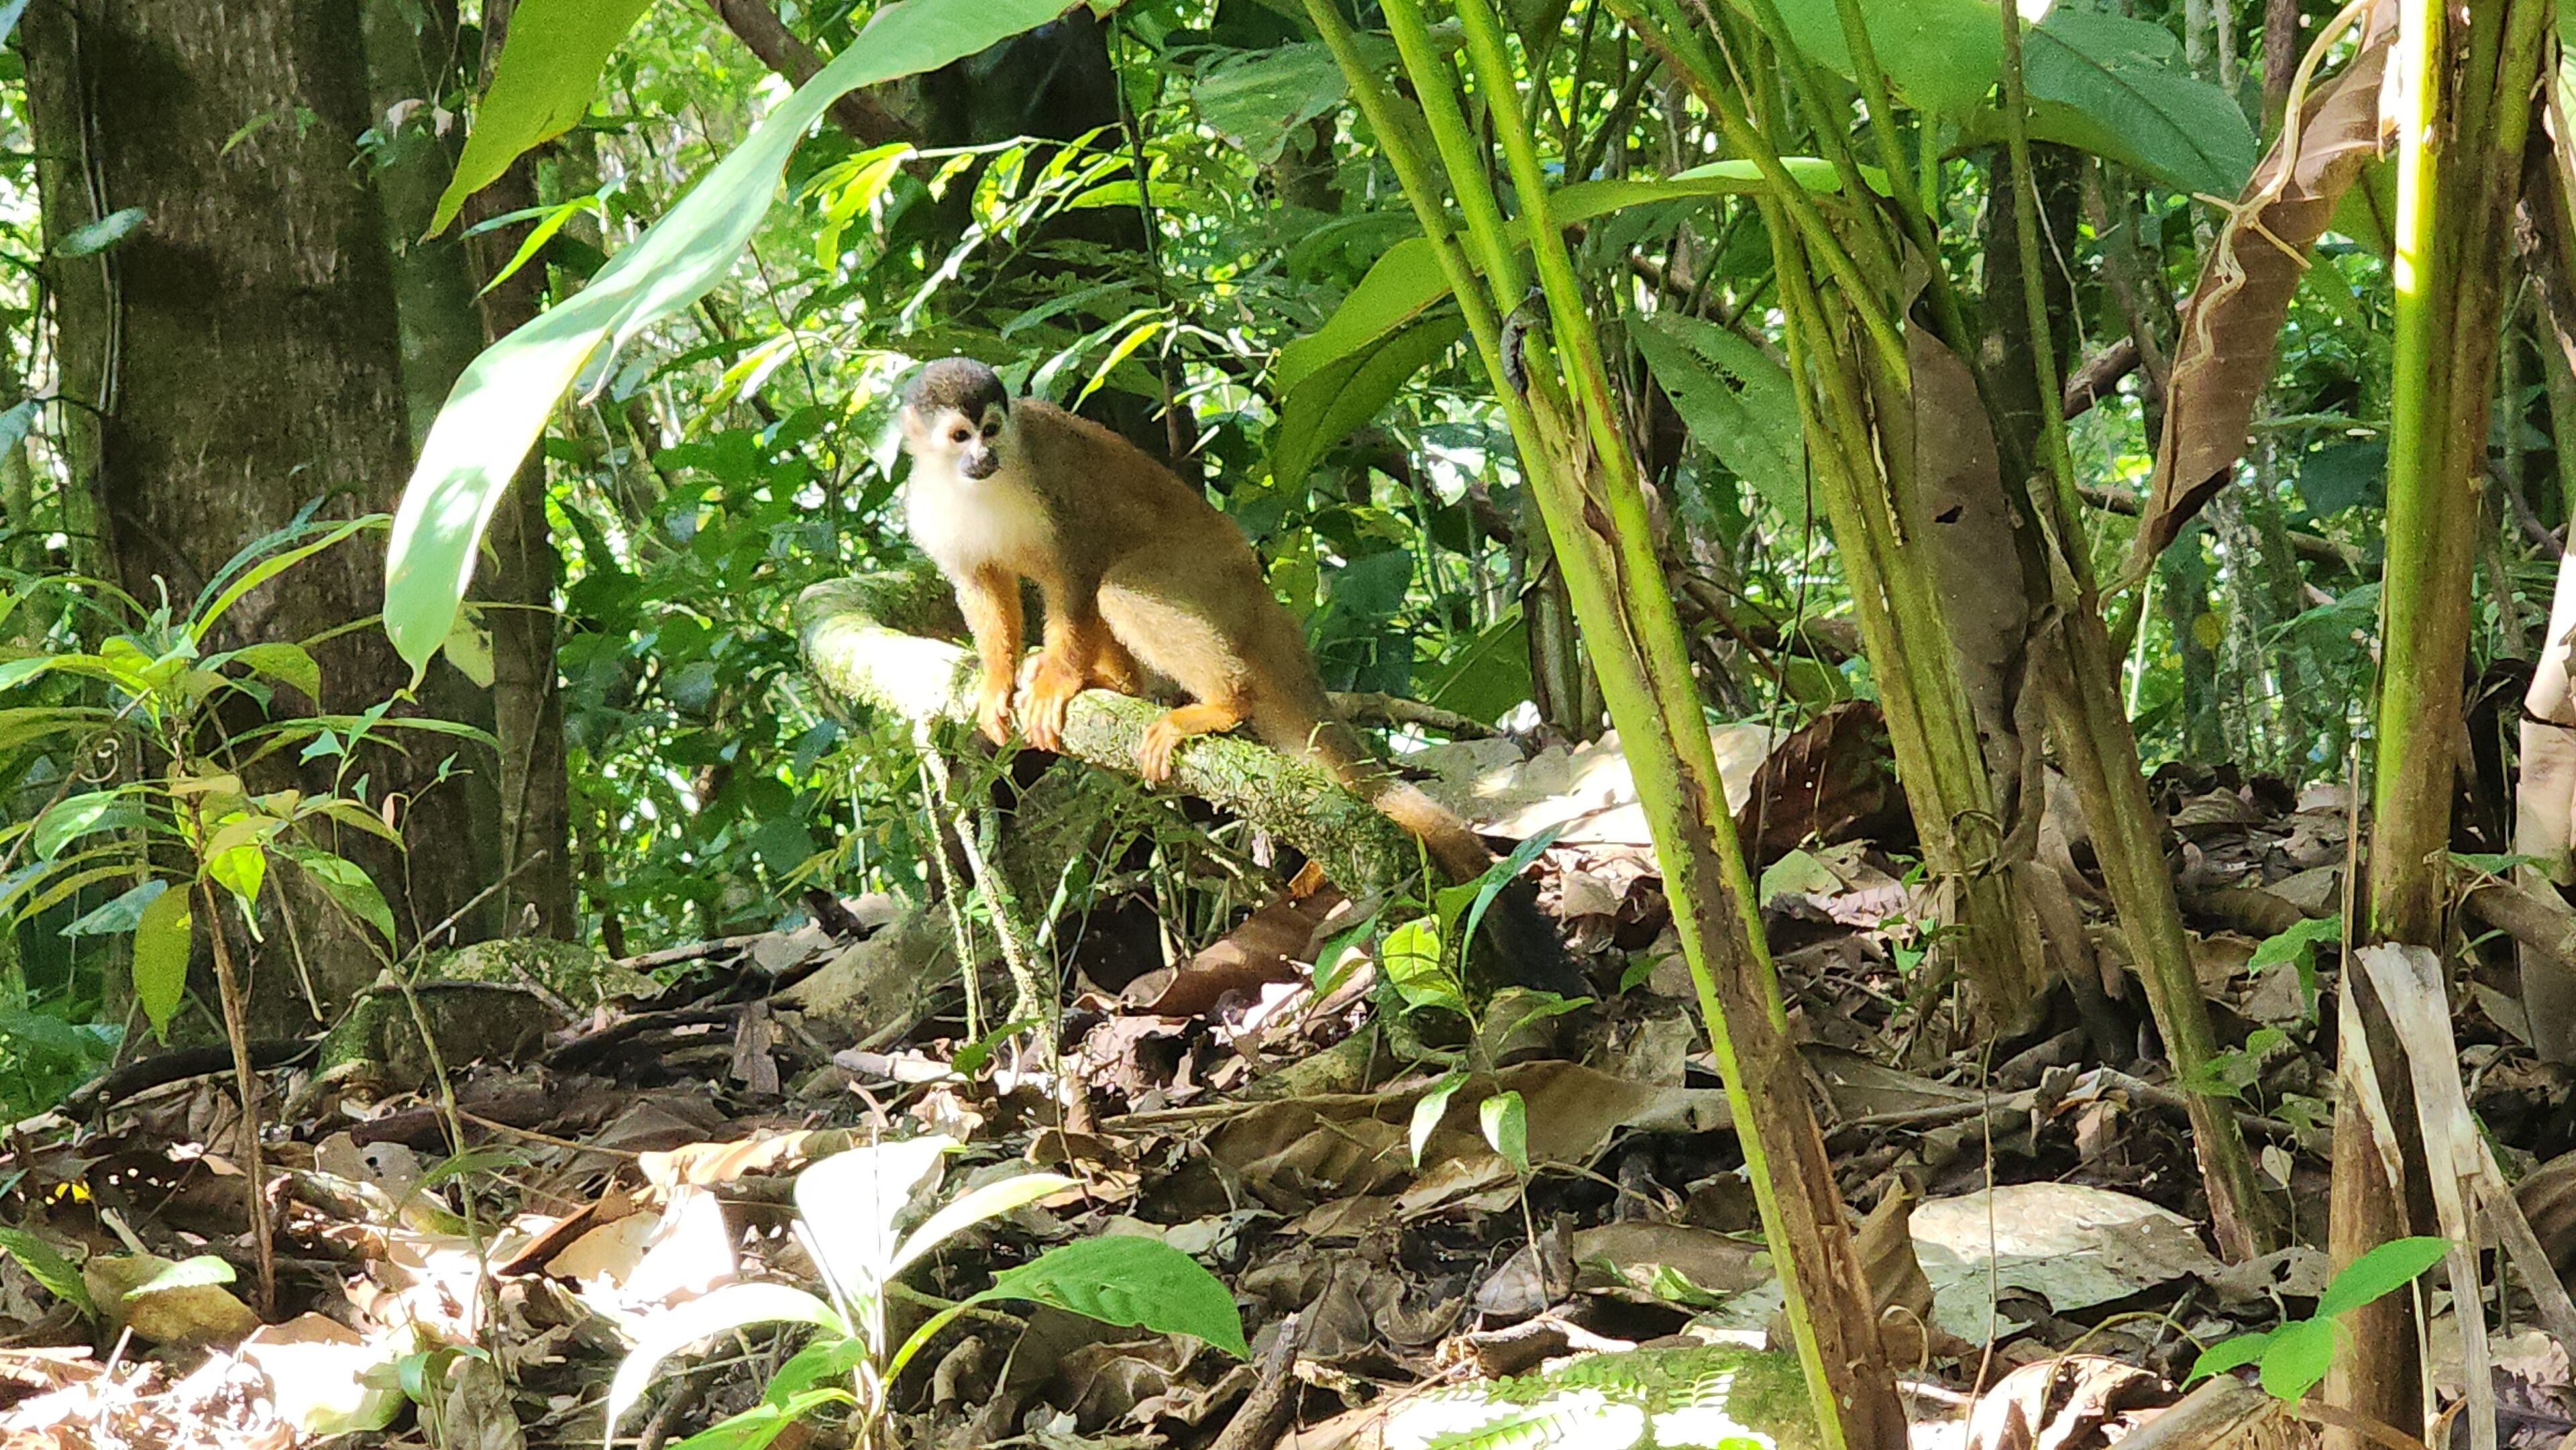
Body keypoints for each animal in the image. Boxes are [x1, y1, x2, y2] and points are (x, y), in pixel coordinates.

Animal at [898, 357, 1585, 999]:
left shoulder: (1045, 479)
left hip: (1206, 573)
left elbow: (1078, 570)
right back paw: (1120, 683)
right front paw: (998, 678)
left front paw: (1057, 682)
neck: (970, 488)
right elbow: (983, 584)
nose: (985, 456)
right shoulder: (930, 513)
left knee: (1115, 586)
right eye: (960, 436)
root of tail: (1258, 593)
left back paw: (1219, 702)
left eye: (990, 429)